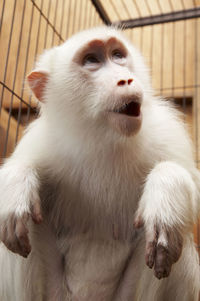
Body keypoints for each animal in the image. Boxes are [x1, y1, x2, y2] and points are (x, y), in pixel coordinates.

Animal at [0, 26, 200, 300]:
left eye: (117, 55)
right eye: (91, 60)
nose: (125, 80)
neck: (104, 138)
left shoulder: (166, 131)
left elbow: (191, 189)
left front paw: (166, 192)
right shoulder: (40, 141)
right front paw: (17, 182)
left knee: (174, 238)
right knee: (22, 222)